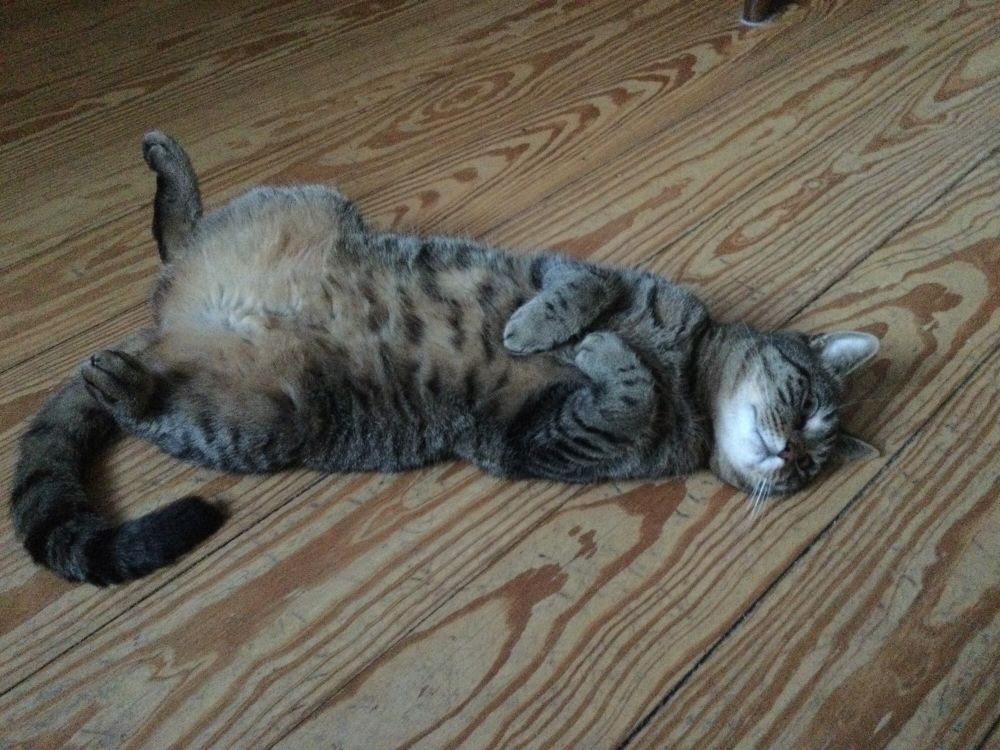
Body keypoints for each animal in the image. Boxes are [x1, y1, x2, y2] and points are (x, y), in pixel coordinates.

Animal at [10, 131, 880, 586]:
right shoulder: (579, 273)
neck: (690, 375)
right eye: (806, 402)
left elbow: (624, 384)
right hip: (304, 208)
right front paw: (543, 329)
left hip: (252, 419)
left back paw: (122, 374)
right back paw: (167, 166)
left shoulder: (557, 436)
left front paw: (596, 347)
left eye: (811, 468)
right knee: (175, 235)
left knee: (149, 376)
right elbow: (584, 291)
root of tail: (168, 331)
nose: (792, 451)